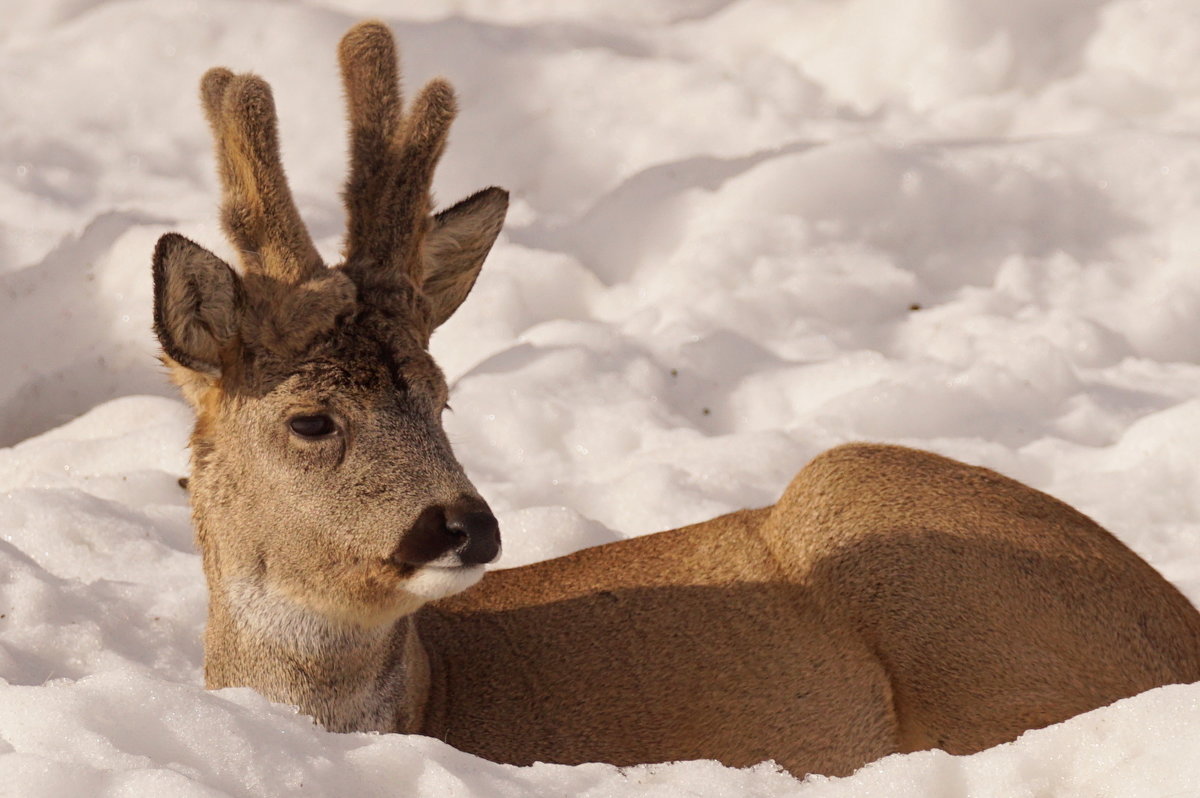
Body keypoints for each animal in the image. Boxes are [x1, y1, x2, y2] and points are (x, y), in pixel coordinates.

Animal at [152, 20, 1200, 777]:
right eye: (310, 419)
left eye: (444, 402)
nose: (465, 526)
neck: (424, 699)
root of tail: (1180, 634)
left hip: (875, 520)